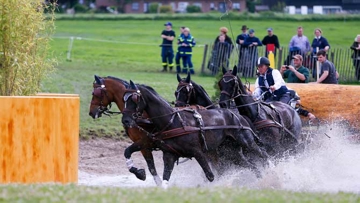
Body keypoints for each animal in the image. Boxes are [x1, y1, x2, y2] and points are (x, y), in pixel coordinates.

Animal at [122, 80, 268, 187]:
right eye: (124, 99)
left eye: (134, 98)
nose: (126, 120)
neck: (172, 121)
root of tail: (237, 115)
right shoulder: (169, 154)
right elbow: (164, 180)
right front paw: (140, 173)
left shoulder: (198, 152)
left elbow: (210, 176)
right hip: (232, 151)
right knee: (251, 166)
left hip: (246, 142)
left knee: (263, 154)